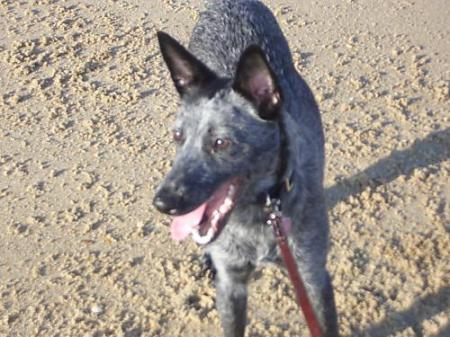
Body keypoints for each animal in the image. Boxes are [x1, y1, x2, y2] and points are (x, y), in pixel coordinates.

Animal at [153, 0, 340, 336]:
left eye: (221, 143)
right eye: (177, 136)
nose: (162, 203)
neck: (262, 212)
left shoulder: (313, 277)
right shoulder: (232, 284)